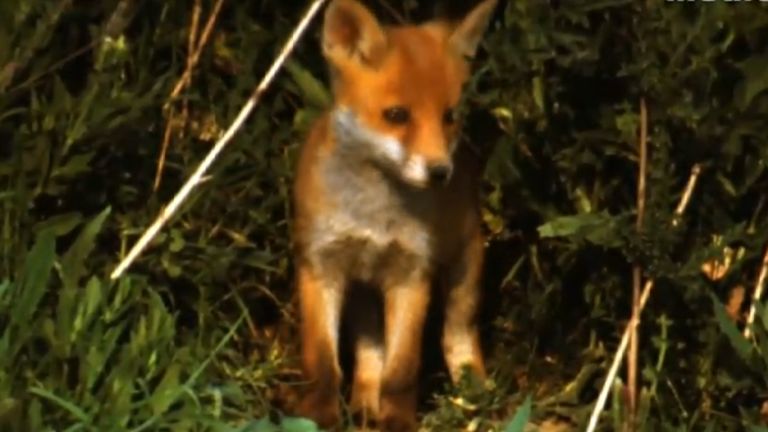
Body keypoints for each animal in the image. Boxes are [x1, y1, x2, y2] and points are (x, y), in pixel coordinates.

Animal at [290, 1, 498, 430]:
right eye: (397, 115)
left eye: (449, 115)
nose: (440, 172)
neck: (372, 214)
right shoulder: (320, 265)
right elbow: (323, 364)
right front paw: (319, 417)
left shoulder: (412, 272)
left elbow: (402, 369)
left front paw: (398, 420)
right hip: (365, 293)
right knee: (371, 354)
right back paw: (364, 405)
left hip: (465, 273)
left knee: (458, 337)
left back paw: (474, 397)